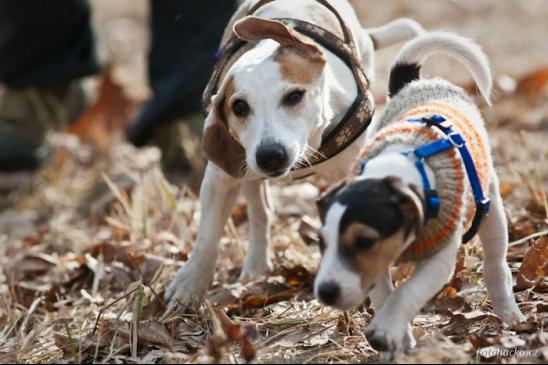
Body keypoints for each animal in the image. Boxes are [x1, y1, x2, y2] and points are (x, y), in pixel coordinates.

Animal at [166, 0, 424, 308]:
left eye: (294, 96)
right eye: (239, 107)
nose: (270, 155)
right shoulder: (221, 179)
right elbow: (207, 238)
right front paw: (189, 287)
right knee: (260, 211)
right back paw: (256, 265)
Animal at [314, 31, 524, 356]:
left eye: (364, 241)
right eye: (321, 242)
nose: (325, 292)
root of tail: (416, 83)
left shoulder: (440, 258)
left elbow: (406, 292)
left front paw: (386, 329)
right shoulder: (377, 266)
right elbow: (385, 295)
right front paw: (395, 338)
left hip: (491, 209)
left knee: (495, 263)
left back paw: (510, 313)